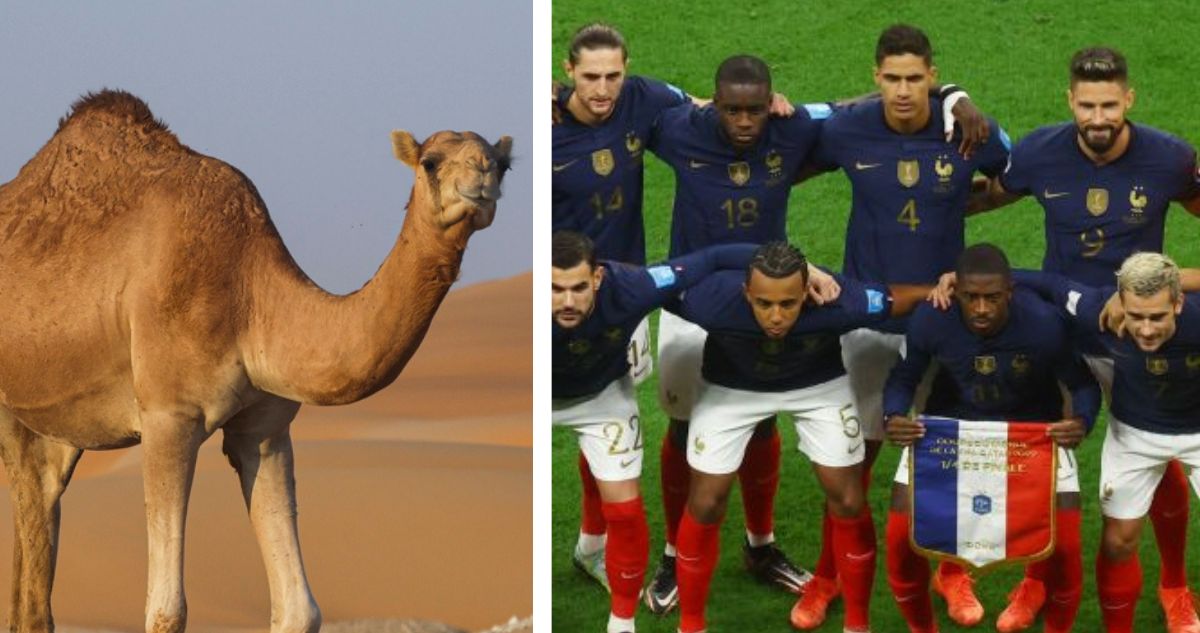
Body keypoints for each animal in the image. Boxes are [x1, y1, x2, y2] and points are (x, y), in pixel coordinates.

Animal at [0, 89, 512, 633]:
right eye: (431, 161)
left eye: (503, 163)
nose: (482, 176)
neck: (249, 293)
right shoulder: (167, 415)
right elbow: (166, 610)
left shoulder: (264, 426)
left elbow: (299, 610)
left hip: (51, 425)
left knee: (40, 502)